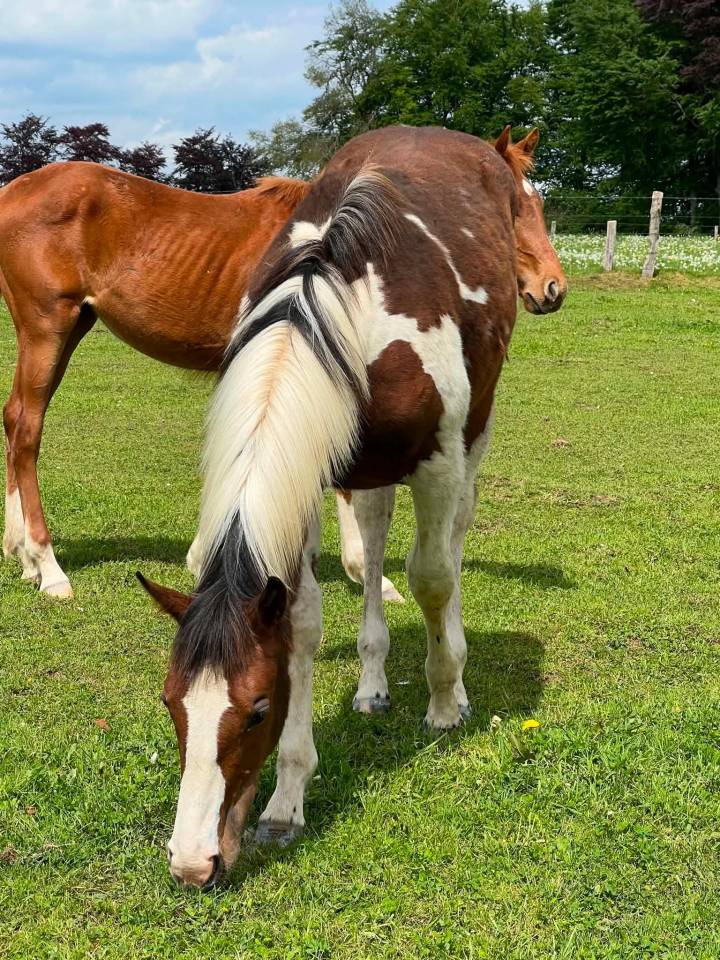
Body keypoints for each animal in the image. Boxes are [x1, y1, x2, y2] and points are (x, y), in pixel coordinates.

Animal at [0, 162, 401, 602]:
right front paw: (369, 574)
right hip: (46, 328)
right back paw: (48, 567)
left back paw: (22, 556)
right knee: (27, 429)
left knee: (13, 417)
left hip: (69, 330)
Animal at [138, 123, 566, 889]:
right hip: (363, 468)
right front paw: (287, 800)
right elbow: (306, 617)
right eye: (171, 703)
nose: (193, 863)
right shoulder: (309, 472)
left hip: (472, 437)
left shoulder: (437, 460)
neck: (341, 297)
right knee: (370, 551)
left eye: (256, 711)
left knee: (451, 545)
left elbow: (433, 578)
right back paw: (372, 681)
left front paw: (444, 700)